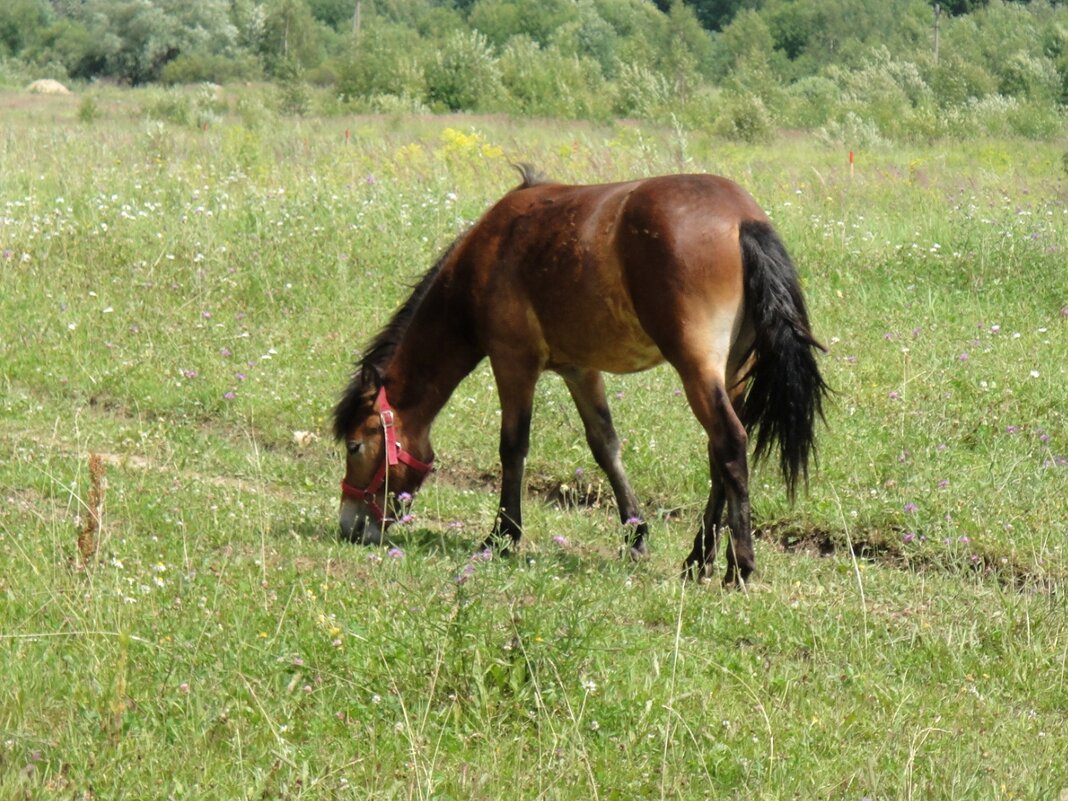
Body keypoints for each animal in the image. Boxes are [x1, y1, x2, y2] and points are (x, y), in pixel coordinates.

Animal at [333, 167, 824, 585]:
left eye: (355, 445)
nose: (349, 527)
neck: (489, 253)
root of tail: (743, 221)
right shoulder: (580, 370)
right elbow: (605, 445)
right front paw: (635, 534)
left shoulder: (513, 362)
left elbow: (513, 447)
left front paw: (502, 535)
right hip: (731, 370)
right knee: (718, 455)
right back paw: (697, 559)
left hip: (697, 367)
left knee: (729, 444)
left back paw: (738, 566)